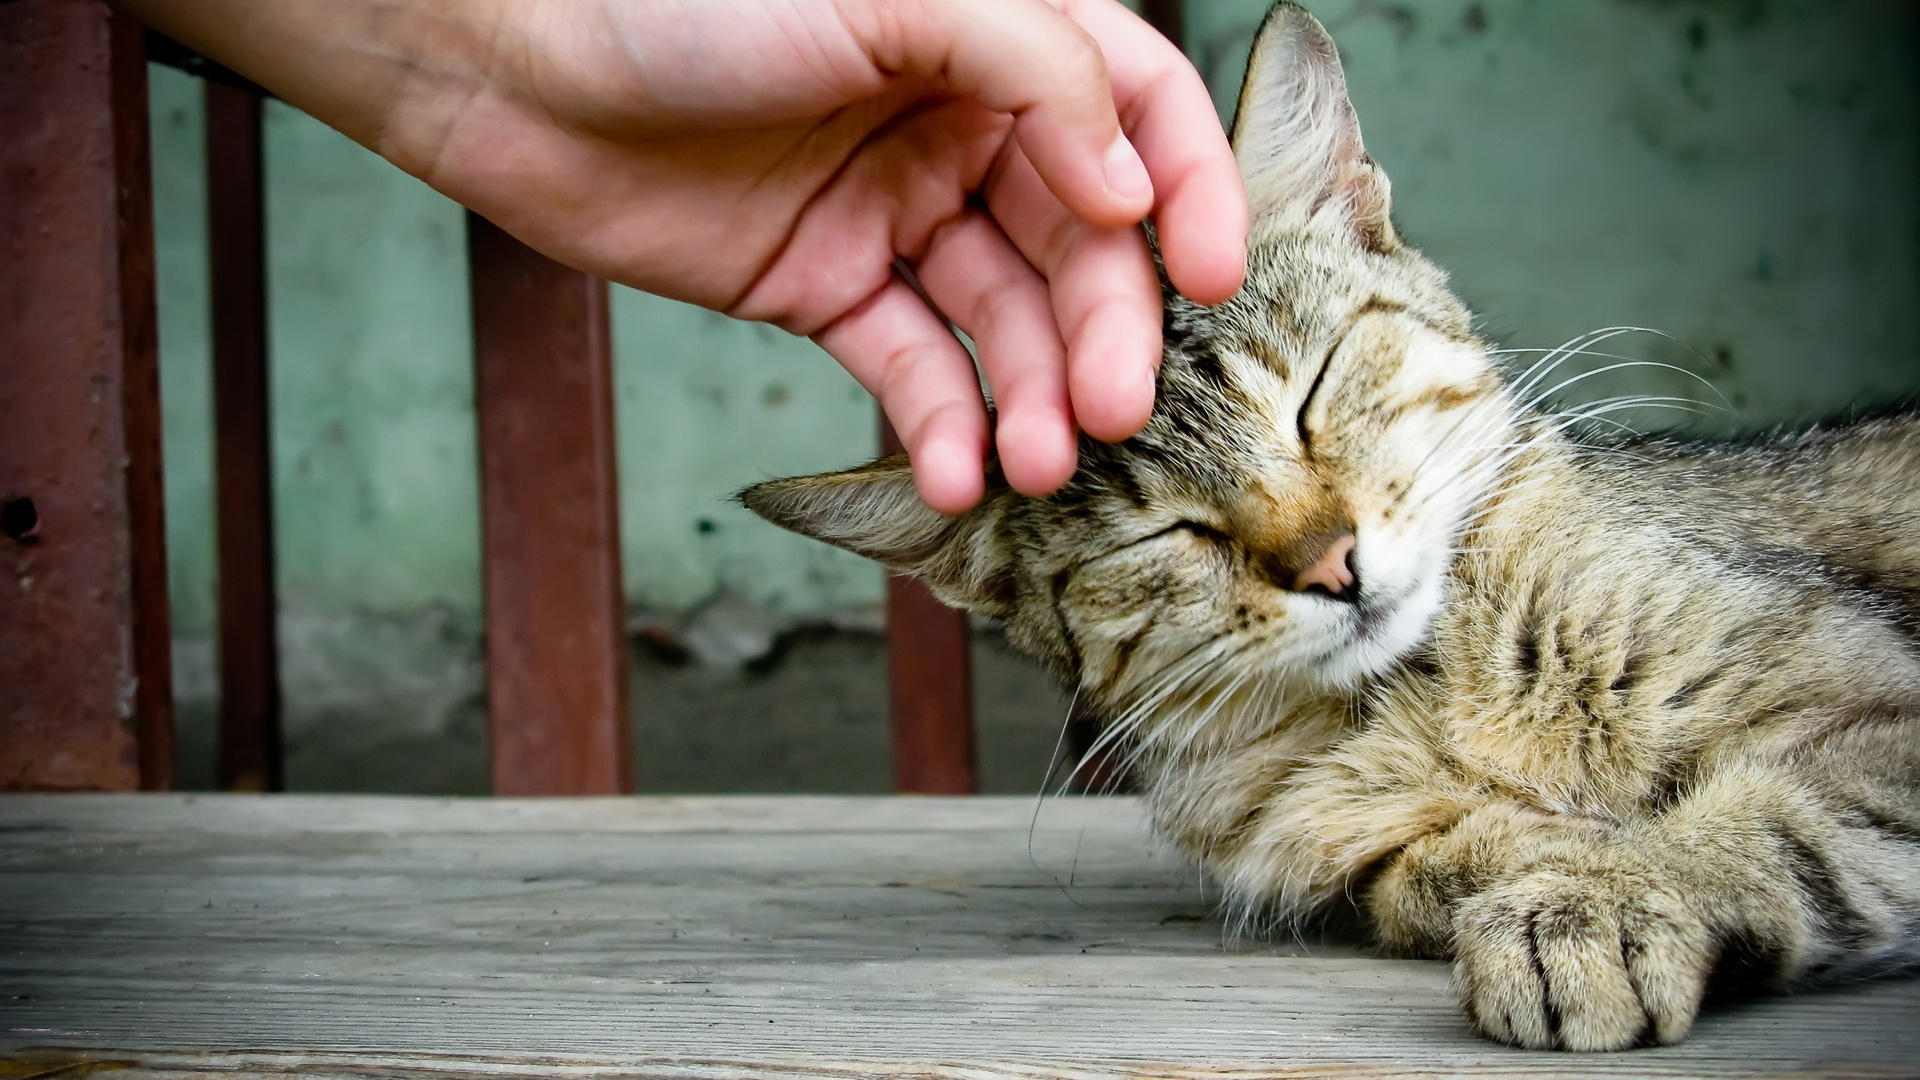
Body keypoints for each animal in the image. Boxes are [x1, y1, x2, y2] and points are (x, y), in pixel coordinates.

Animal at [741, 2, 1920, 1053]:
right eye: (1166, 535)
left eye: (1309, 398)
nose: (1330, 564)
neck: (1423, 698)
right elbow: (1413, 874)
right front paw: (1527, 861)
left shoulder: (1882, 713)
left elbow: (1768, 819)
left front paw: (1601, 897)